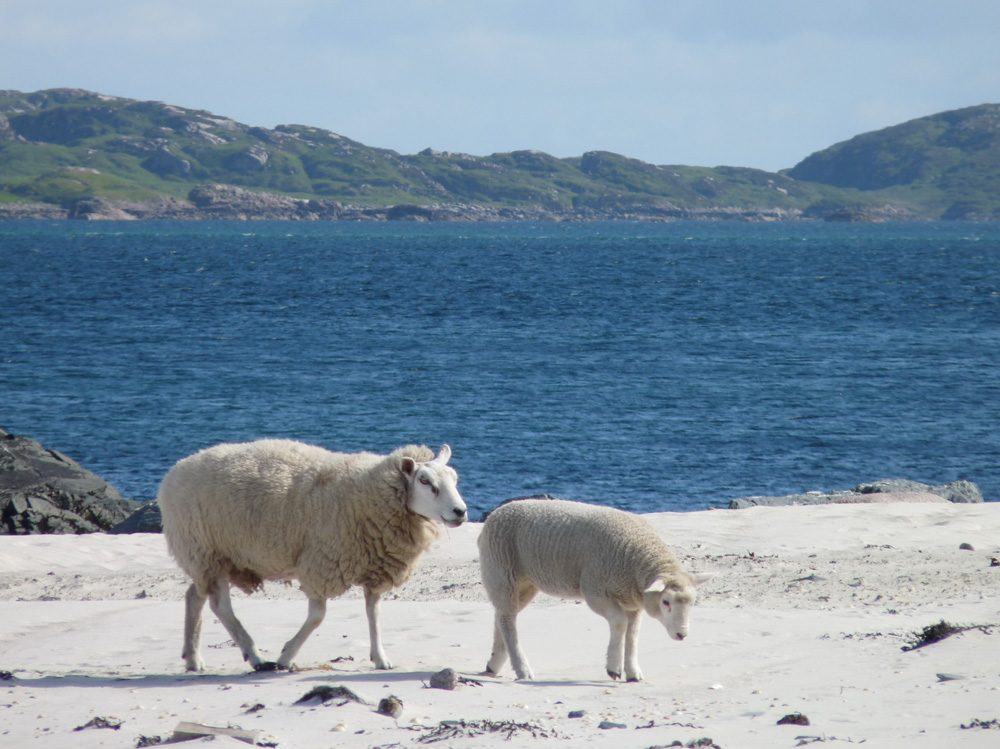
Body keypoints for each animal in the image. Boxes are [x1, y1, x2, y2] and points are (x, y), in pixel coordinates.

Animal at [157, 438, 468, 672]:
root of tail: (172, 473)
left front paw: (381, 658)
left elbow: (374, 613)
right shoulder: (321, 563)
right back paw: (255, 656)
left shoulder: (375, 564)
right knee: (219, 605)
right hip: (207, 550)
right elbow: (318, 616)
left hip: (210, 557)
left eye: (455, 479)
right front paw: (285, 656)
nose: (461, 511)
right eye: (425, 481)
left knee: (195, 596)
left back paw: (193, 658)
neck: (368, 492)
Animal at [476, 500, 712, 680]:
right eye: (666, 602)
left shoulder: (633, 600)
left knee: (502, 616)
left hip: (524, 583)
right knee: (508, 621)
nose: (682, 634)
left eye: (692, 602)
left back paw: (494, 664)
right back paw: (522, 669)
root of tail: (495, 514)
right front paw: (614, 668)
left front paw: (633, 672)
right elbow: (620, 623)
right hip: (501, 572)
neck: (634, 560)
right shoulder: (595, 591)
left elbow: (633, 633)